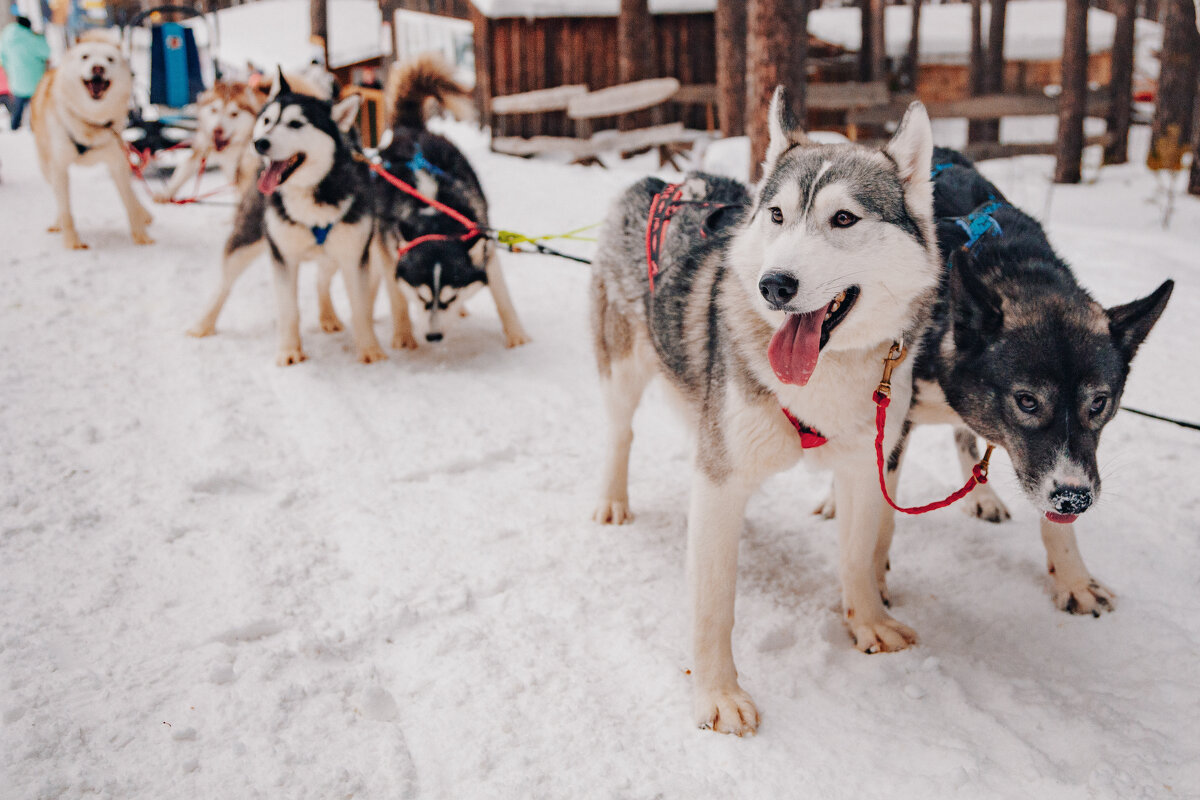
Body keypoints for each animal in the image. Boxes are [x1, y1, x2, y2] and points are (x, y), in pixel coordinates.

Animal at [31, 28, 154, 247]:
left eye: (110, 59)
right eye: (85, 57)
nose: (98, 68)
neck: (90, 122)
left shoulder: (118, 163)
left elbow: (129, 202)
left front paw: (141, 235)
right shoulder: (59, 167)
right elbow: (65, 209)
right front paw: (72, 243)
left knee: (133, 195)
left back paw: (143, 213)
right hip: (46, 165)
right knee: (57, 197)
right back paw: (57, 222)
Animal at [186, 71, 384, 367]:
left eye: (295, 124)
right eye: (267, 121)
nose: (260, 143)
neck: (312, 196)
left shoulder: (354, 256)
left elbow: (360, 308)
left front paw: (370, 349)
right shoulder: (283, 257)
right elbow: (288, 310)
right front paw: (290, 351)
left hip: (333, 254)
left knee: (321, 280)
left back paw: (328, 316)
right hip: (247, 240)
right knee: (224, 282)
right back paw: (203, 323)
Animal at [372, 53, 528, 347]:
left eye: (450, 297)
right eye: (421, 297)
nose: (433, 336)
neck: (434, 214)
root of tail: (411, 130)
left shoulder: (487, 251)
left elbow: (503, 298)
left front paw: (517, 336)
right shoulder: (390, 254)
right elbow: (398, 299)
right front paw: (404, 335)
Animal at [595, 90, 940, 734]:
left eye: (844, 219)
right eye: (777, 216)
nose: (774, 285)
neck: (821, 379)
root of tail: (661, 182)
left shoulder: (864, 467)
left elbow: (857, 559)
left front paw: (867, 622)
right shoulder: (720, 473)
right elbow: (713, 605)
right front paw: (717, 694)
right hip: (622, 371)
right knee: (619, 433)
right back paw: (612, 499)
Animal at [844, 146, 1171, 618]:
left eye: (1099, 403)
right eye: (1027, 401)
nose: (1076, 500)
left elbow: (1054, 519)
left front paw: (1074, 579)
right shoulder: (894, 414)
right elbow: (880, 509)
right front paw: (871, 581)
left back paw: (982, 496)